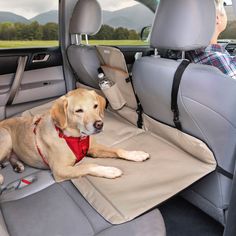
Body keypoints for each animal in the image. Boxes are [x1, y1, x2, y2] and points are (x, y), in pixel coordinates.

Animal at [0, 88, 149, 183]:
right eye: (79, 111)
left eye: (95, 106)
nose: (99, 124)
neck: (75, 137)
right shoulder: (60, 170)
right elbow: (88, 166)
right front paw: (109, 170)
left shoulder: (93, 148)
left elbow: (118, 150)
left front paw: (136, 154)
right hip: (6, 137)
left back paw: (17, 165)